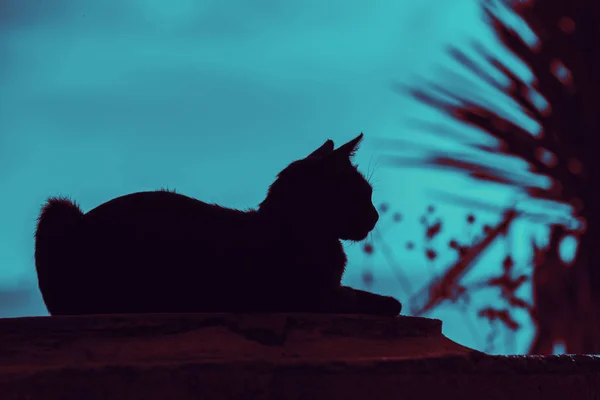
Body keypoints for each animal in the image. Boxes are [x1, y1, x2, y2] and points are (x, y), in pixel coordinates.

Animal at [36, 134, 404, 316]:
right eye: (363, 195)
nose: (376, 217)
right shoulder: (311, 296)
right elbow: (356, 298)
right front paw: (386, 302)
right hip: (57, 209)